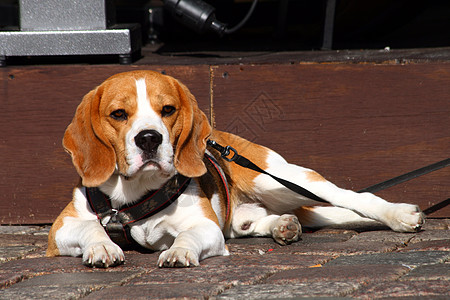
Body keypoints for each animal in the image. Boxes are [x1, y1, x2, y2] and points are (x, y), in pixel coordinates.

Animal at [46, 70, 426, 268]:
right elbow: (89, 228)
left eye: (167, 109)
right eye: (118, 114)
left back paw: (399, 214)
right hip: (248, 213)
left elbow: (186, 236)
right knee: (259, 221)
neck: (138, 191)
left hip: (279, 179)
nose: (150, 138)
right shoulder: (60, 229)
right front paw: (103, 247)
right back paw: (283, 225)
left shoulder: (206, 227)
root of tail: (221, 139)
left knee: (350, 197)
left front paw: (179, 251)